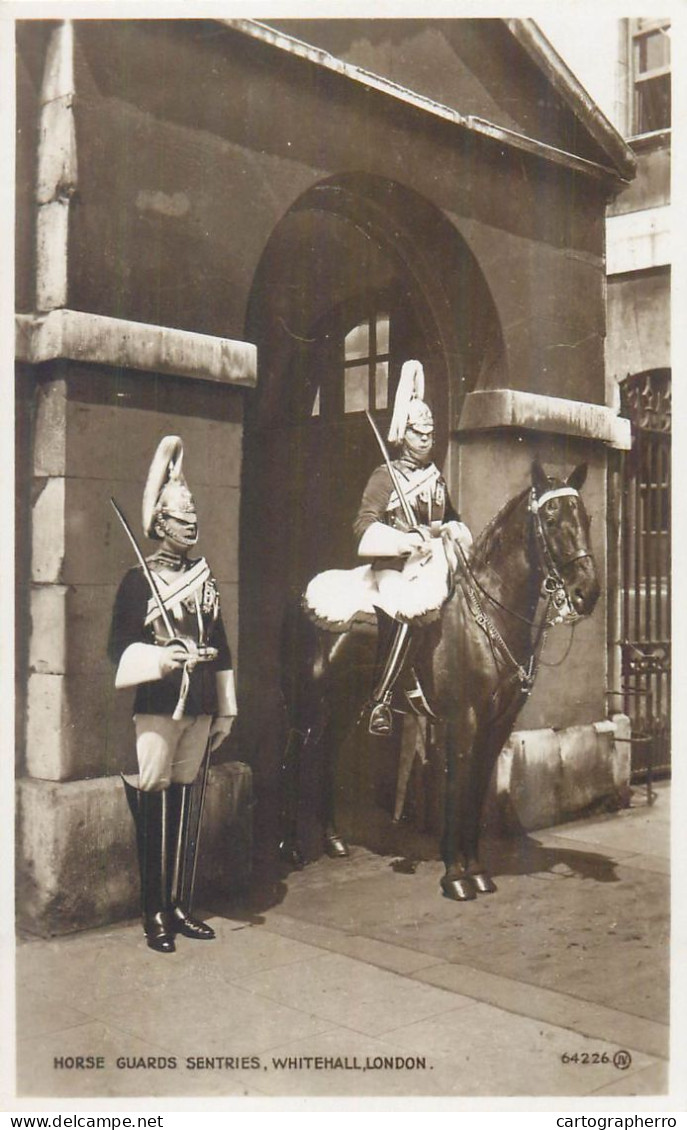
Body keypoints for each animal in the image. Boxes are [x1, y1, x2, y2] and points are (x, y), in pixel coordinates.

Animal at [276, 458, 596, 899]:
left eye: (586, 518)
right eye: (550, 519)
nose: (587, 593)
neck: (488, 616)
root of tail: (301, 597)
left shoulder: (498, 725)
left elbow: (475, 793)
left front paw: (476, 870)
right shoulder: (463, 722)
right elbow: (455, 792)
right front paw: (456, 876)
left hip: (343, 704)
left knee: (325, 756)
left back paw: (334, 842)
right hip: (309, 705)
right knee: (296, 759)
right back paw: (291, 848)